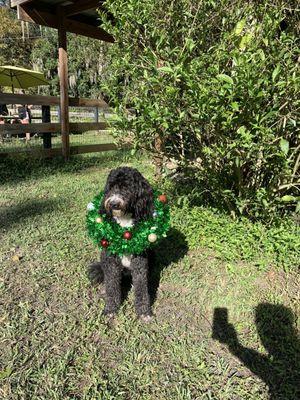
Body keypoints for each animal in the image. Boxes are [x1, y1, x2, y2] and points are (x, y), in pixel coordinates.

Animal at [88, 167, 155, 320]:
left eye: (126, 187)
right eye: (111, 187)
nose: (113, 203)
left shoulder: (140, 260)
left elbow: (141, 286)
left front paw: (144, 311)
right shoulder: (110, 259)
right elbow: (112, 284)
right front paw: (110, 309)